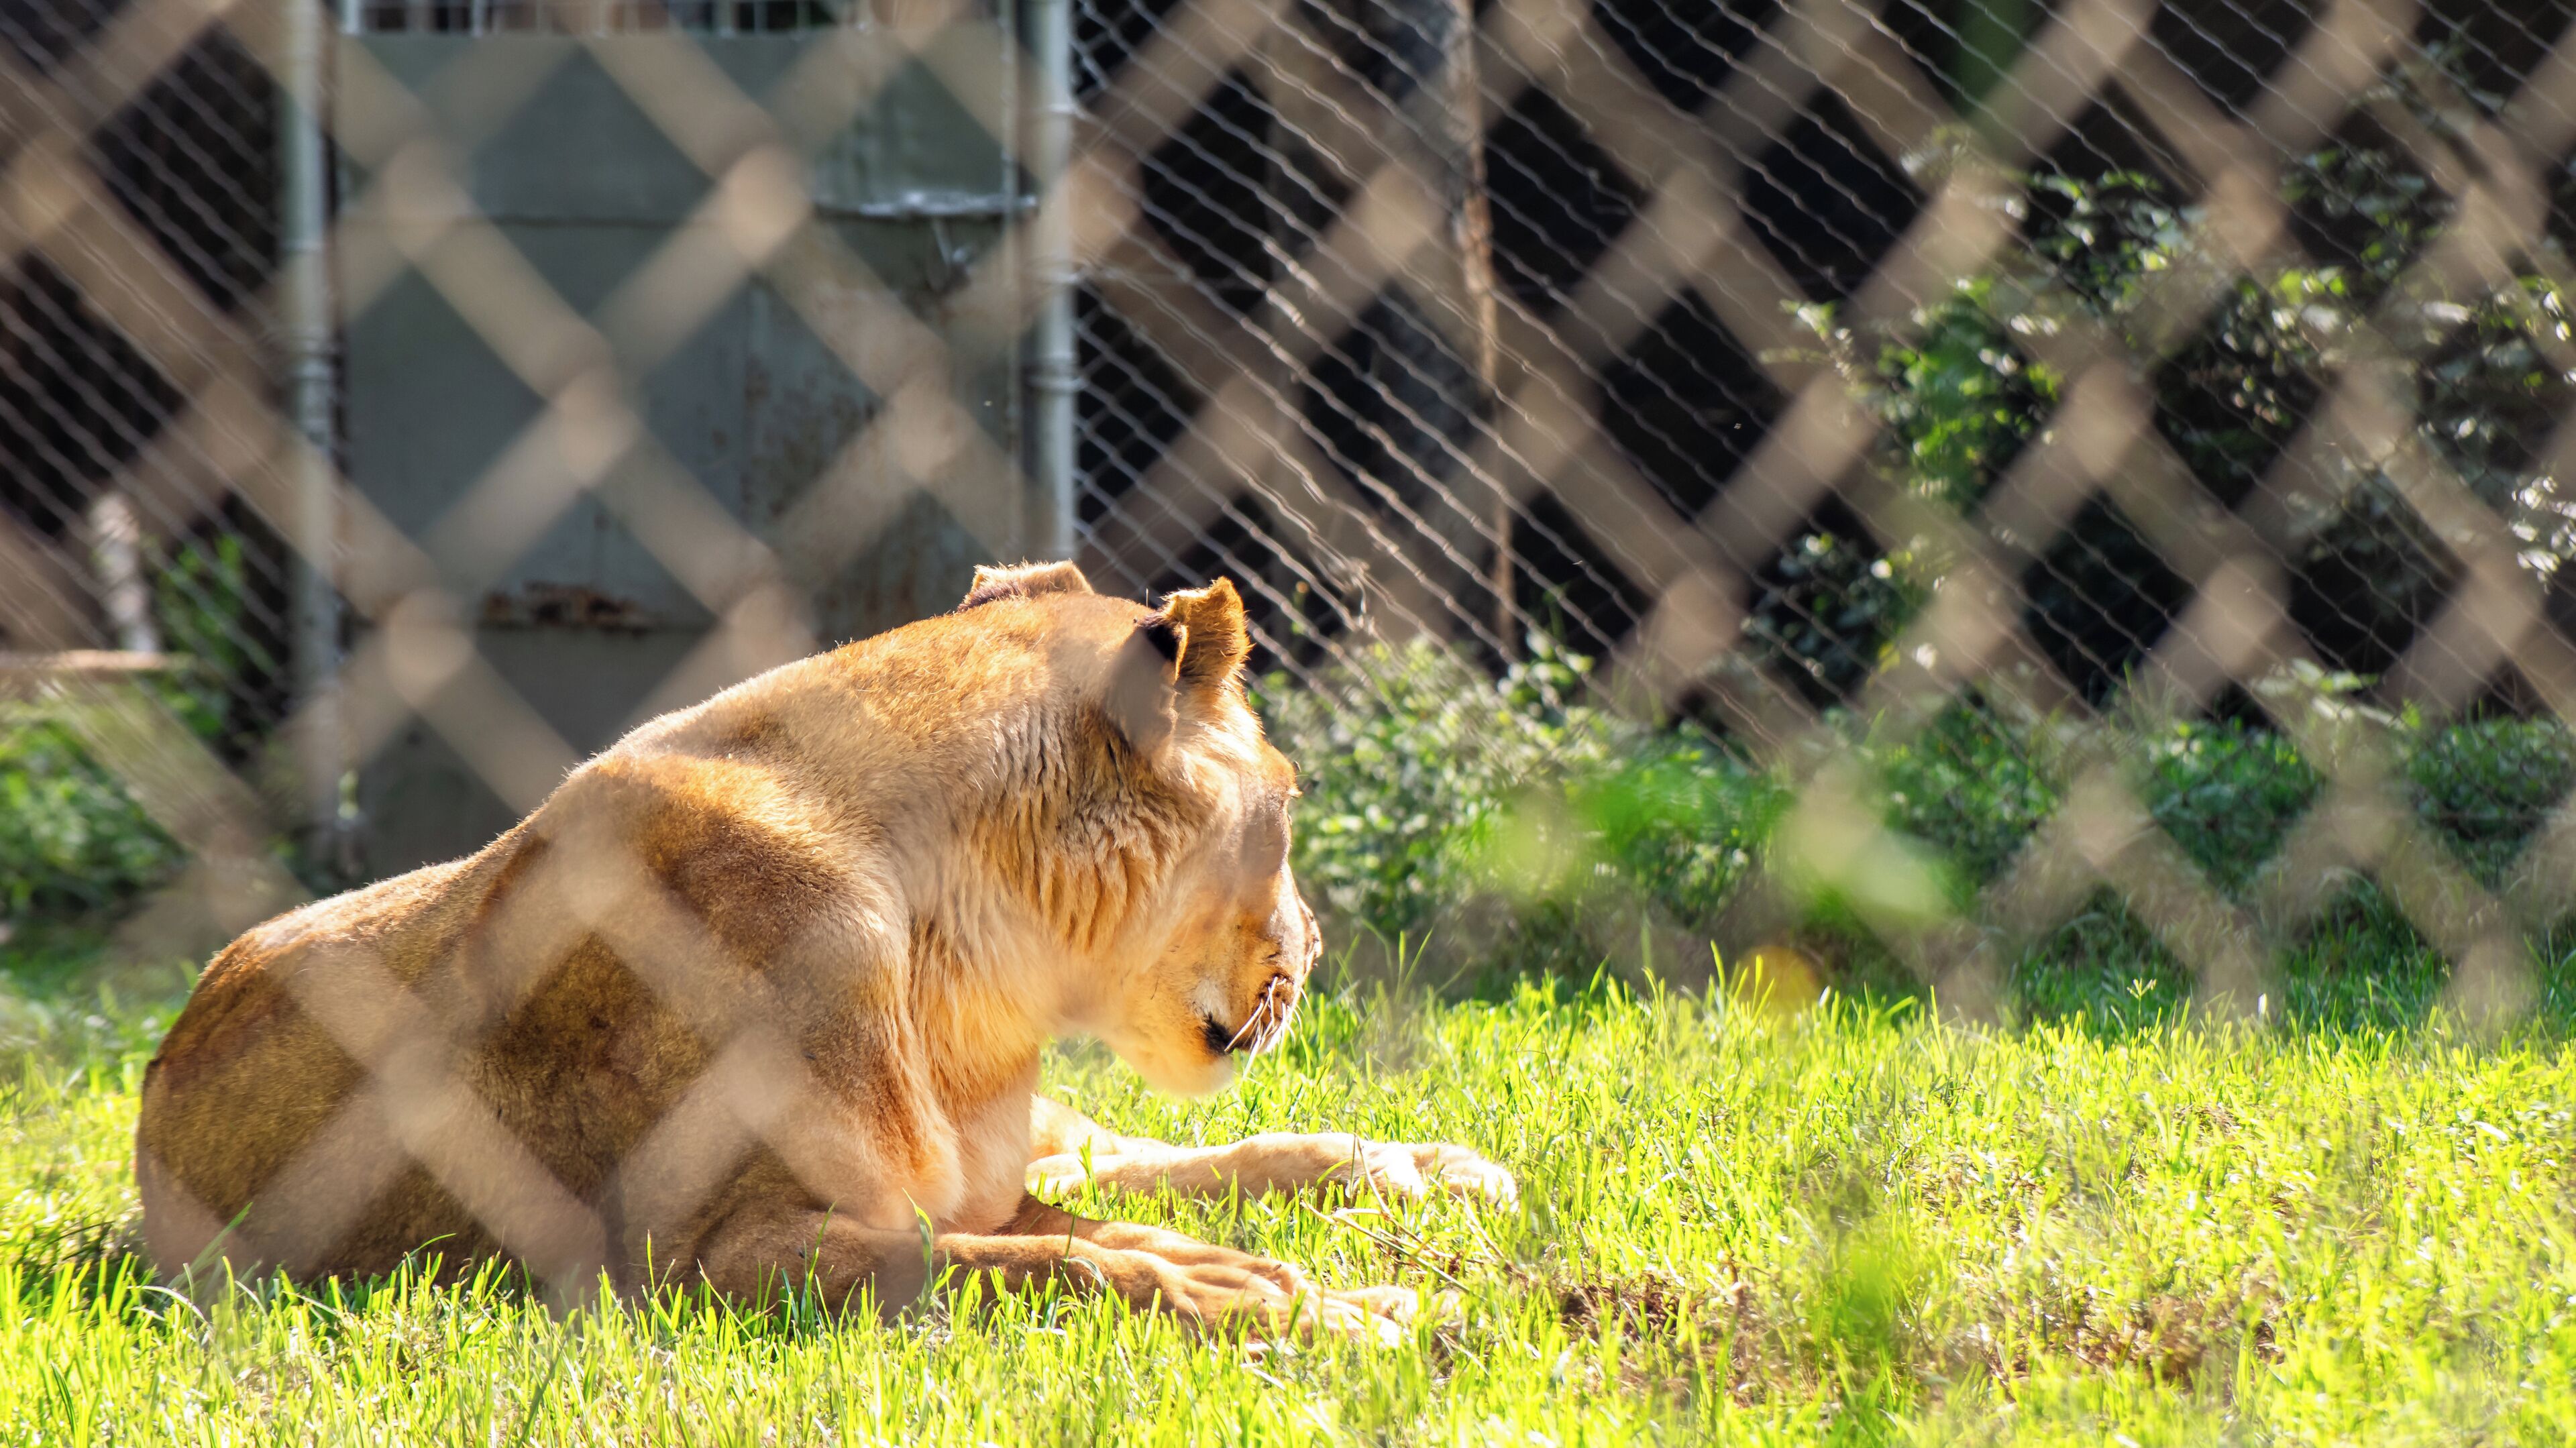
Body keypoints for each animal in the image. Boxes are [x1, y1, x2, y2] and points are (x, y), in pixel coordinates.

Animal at [135, 562, 1513, 1342]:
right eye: (1286, 808)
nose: (1315, 946)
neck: (965, 974)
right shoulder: (701, 1259)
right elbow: (1077, 1263)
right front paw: (1331, 1304)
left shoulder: (969, 1182)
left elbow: (1105, 1233)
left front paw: (1357, 1281)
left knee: (1159, 1152)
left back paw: (1435, 1168)